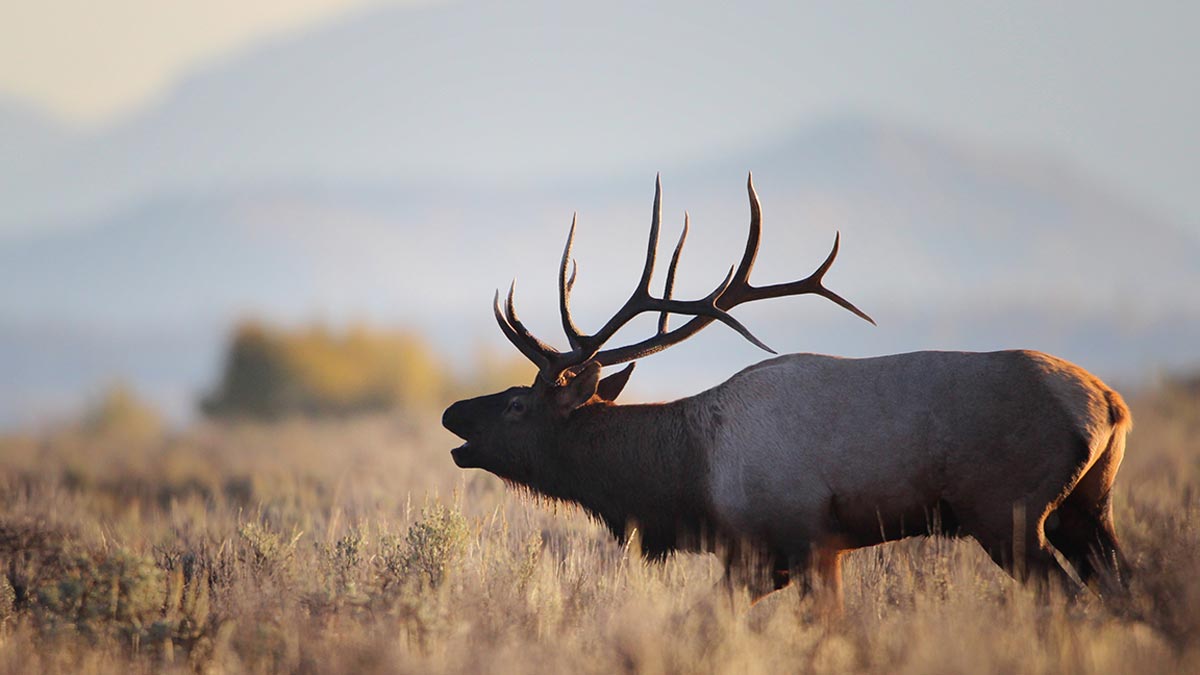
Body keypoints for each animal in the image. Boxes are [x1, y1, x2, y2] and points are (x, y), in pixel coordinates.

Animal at [436, 174, 1128, 605]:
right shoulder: (771, 559)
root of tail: (1110, 405)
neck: (687, 479)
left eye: (518, 404)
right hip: (1085, 509)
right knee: (1124, 590)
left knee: (1069, 599)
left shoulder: (798, 541)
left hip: (1008, 511)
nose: (451, 414)